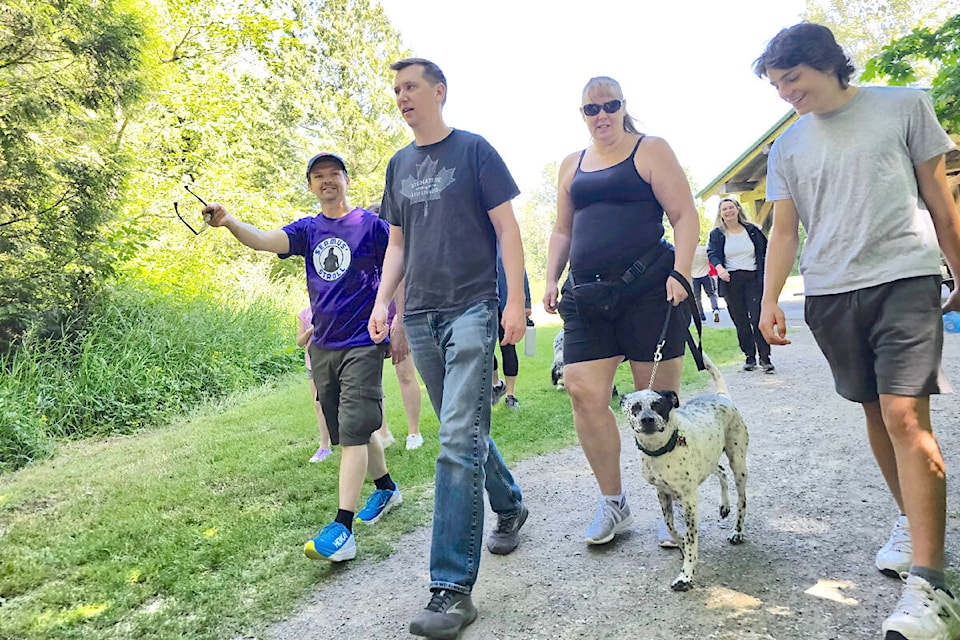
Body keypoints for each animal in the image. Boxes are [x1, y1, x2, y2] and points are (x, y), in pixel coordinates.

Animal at [620, 352, 748, 592]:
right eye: (635, 408)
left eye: (658, 405)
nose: (647, 419)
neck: (660, 452)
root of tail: (722, 397)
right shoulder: (662, 493)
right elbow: (670, 527)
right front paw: (679, 544)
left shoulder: (689, 500)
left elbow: (691, 540)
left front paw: (686, 575)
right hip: (709, 461)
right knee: (721, 472)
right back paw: (724, 506)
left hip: (738, 463)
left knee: (742, 501)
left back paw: (737, 531)